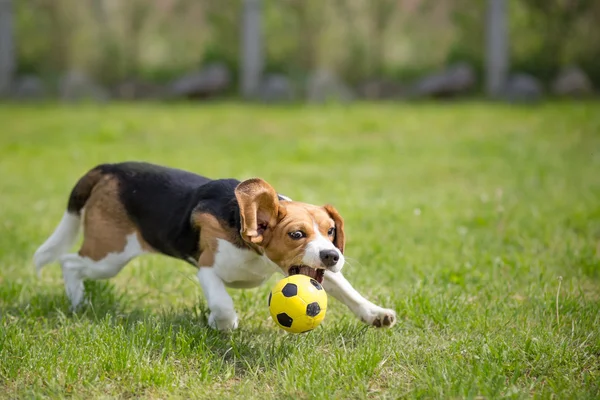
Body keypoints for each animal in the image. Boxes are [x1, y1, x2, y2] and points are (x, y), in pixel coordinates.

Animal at [35, 161, 396, 330]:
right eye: (296, 234)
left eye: (331, 231)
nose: (333, 256)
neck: (258, 252)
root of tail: (109, 169)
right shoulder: (208, 268)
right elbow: (222, 303)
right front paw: (222, 324)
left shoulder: (319, 273)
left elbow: (348, 291)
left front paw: (376, 314)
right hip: (110, 255)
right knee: (69, 262)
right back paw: (78, 302)